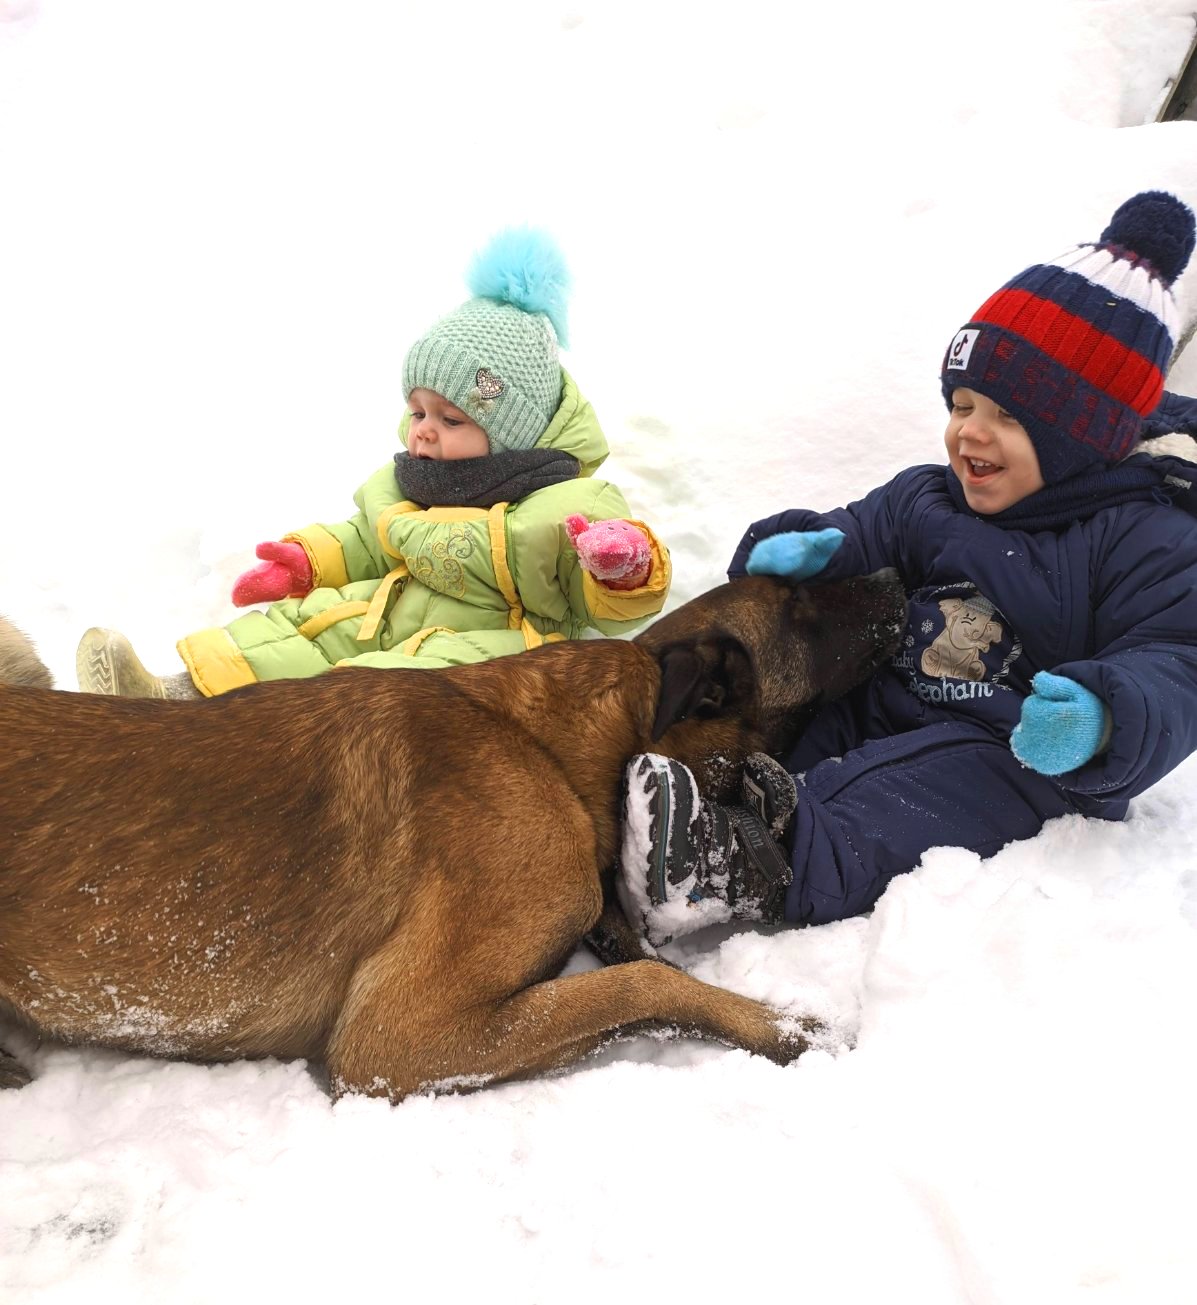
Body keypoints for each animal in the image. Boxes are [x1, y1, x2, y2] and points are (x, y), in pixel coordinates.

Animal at [0, 576, 898, 1096]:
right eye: (797, 603)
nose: (894, 572)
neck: (548, 750)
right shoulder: (395, 1037)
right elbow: (643, 986)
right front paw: (789, 1026)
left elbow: (633, 967)